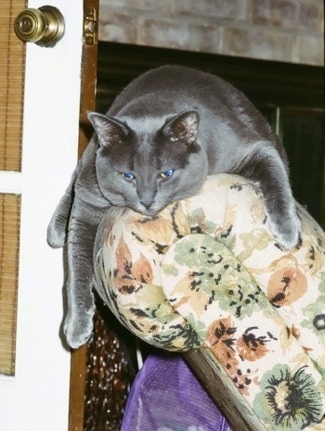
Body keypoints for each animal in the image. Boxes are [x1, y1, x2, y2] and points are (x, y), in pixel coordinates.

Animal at [46, 65, 300, 352]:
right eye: (128, 176)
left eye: (165, 173)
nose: (146, 200)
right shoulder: (88, 203)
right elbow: (76, 267)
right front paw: (76, 328)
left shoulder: (252, 147)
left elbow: (275, 175)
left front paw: (288, 231)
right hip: (89, 159)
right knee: (75, 178)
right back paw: (56, 228)